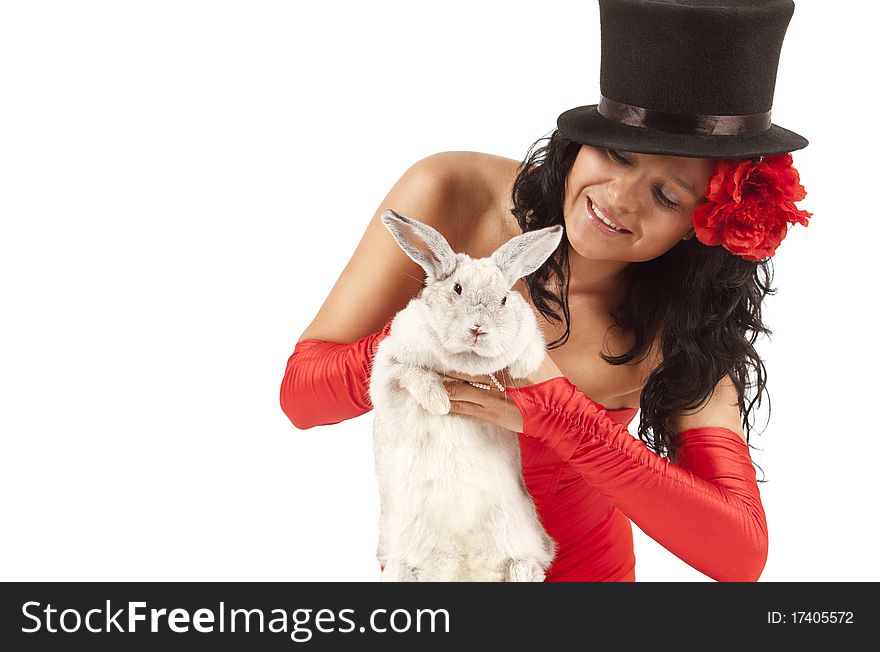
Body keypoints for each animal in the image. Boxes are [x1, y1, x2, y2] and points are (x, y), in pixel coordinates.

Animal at [366, 209, 564, 580]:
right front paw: (439, 402)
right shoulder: (389, 366)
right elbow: (414, 373)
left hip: (524, 549)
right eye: (457, 289)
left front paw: (521, 368)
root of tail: (464, 570)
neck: (466, 359)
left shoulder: (527, 331)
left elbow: (531, 345)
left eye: (503, 299)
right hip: (400, 565)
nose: (478, 328)